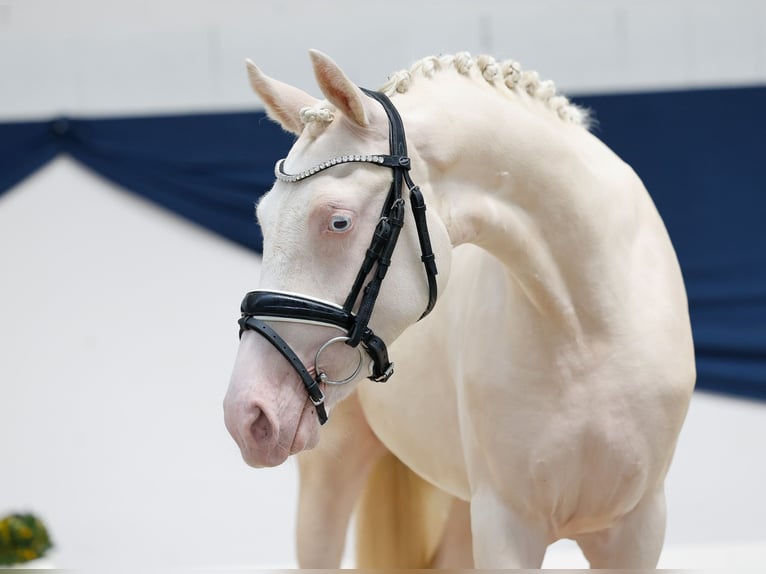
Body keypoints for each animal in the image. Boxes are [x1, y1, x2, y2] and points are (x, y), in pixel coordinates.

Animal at [223, 49, 696, 569]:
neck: (588, 326)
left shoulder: (638, 529)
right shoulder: (505, 524)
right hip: (331, 471)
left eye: (338, 221)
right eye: (262, 219)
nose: (248, 414)